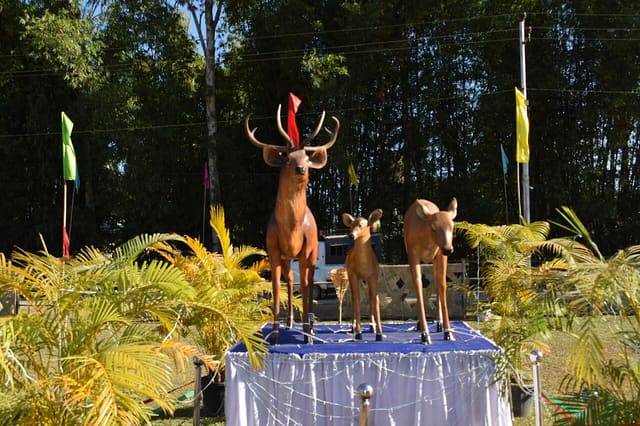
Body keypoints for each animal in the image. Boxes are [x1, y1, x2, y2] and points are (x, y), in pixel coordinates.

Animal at [245, 104, 339, 344]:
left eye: (306, 158)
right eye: (287, 158)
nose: (300, 169)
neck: (292, 231)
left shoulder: (307, 250)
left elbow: (306, 287)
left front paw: (308, 333)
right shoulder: (273, 249)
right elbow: (276, 286)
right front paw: (275, 333)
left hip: (311, 252)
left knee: (308, 281)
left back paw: (309, 327)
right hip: (288, 258)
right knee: (289, 279)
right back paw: (289, 322)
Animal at [342, 209, 384, 341]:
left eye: (361, 225)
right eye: (351, 225)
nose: (351, 235)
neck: (364, 264)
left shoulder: (373, 276)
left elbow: (375, 299)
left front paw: (379, 333)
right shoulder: (354, 274)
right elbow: (357, 299)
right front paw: (358, 332)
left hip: (366, 279)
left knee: (370, 297)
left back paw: (372, 326)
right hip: (350, 275)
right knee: (353, 298)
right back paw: (353, 327)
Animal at [403, 198, 458, 344]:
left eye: (452, 226)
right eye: (433, 227)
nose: (448, 249)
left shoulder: (440, 255)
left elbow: (442, 285)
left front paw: (448, 331)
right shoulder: (412, 254)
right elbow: (418, 285)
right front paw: (425, 334)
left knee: (437, 283)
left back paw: (439, 323)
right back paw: (420, 324)